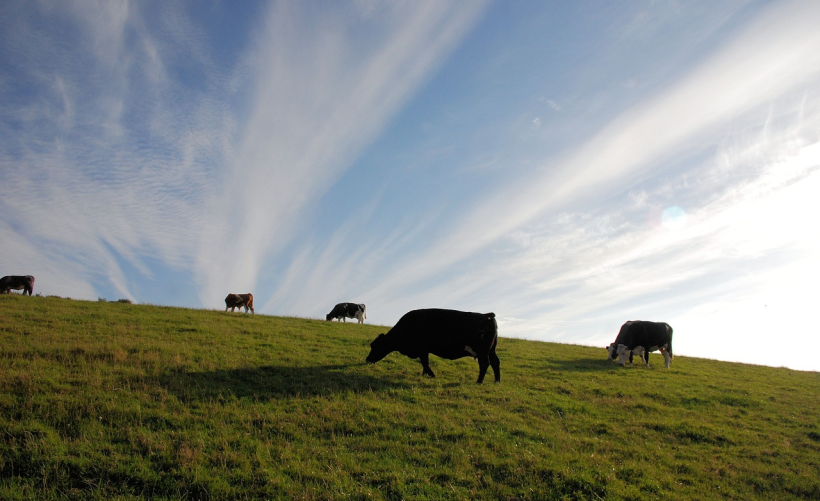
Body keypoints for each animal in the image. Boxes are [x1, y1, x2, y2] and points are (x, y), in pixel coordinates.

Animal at [366, 308, 500, 382]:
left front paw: (431, 374)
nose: (367, 359)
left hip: (483, 351)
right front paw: (425, 374)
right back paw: (497, 381)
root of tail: (487, 315)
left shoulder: (421, 349)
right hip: (491, 350)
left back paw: (479, 382)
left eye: (375, 346)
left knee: (485, 364)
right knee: (495, 362)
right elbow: (425, 363)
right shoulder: (423, 350)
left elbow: (425, 362)